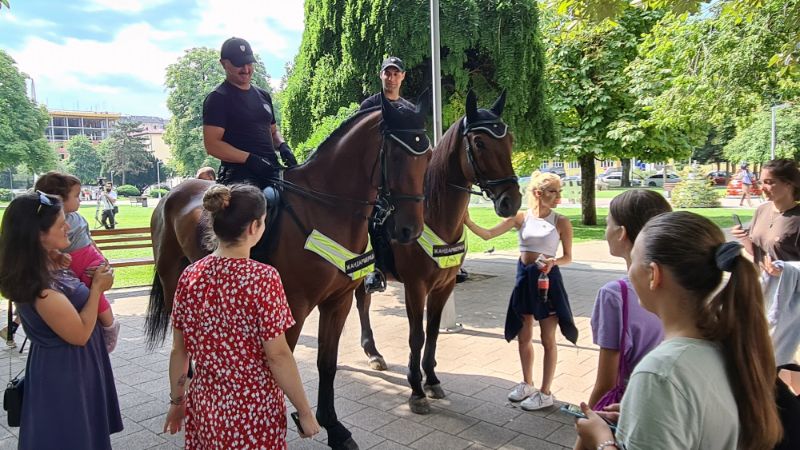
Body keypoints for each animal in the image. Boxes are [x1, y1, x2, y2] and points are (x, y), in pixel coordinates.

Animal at [143, 93, 432, 448]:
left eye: (427, 155)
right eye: (395, 156)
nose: (409, 230)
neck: (325, 210)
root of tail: (172, 193)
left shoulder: (337, 302)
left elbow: (327, 363)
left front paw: (333, 426)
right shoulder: (291, 306)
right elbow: (280, 364)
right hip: (172, 278)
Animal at [354, 90, 520, 414]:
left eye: (509, 140)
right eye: (479, 143)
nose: (512, 201)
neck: (435, 215)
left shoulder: (443, 286)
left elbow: (432, 333)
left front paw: (431, 379)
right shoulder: (415, 288)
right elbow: (416, 336)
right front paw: (416, 390)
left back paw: (373, 352)